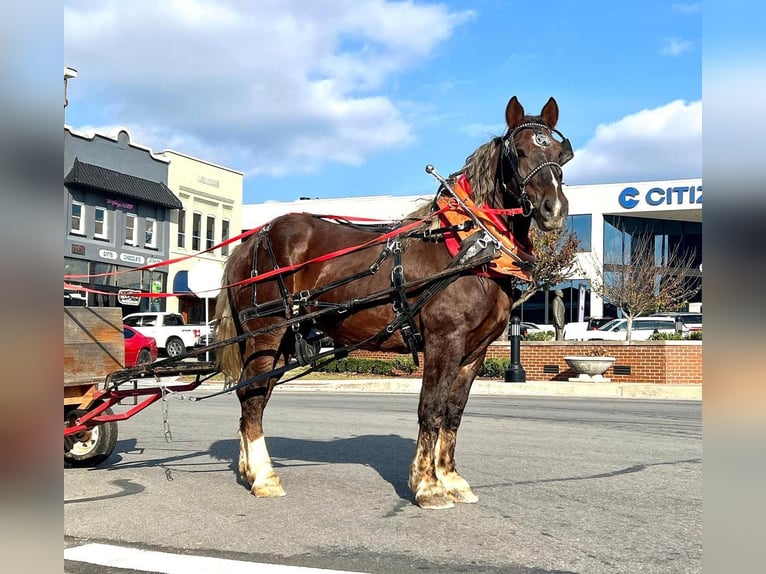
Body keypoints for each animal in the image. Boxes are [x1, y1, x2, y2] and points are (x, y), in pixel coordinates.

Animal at [213, 97, 572, 510]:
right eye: (520, 152)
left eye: (560, 154)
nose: (554, 209)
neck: (470, 244)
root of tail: (252, 241)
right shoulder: (444, 340)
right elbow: (431, 408)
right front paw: (428, 486)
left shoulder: (475, 350)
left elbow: (453, 412)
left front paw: (451, 478)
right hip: (266, 332)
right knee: (253, 398)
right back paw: (264, 477)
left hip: (282, 339)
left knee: (252, 394)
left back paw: (249, 470)